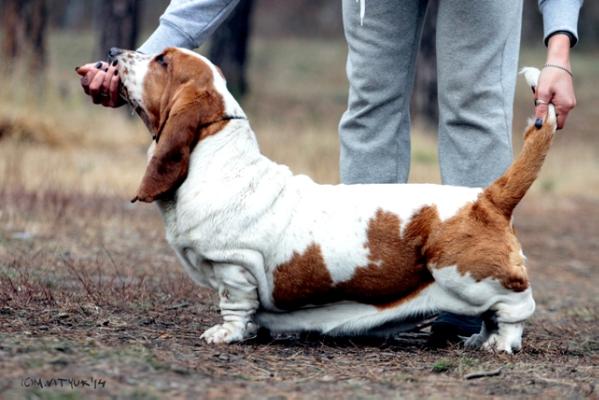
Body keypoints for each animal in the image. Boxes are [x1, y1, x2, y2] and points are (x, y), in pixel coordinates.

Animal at [106, 47, 552, 354]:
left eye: (163, 61)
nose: (112, 53)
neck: (217, 156)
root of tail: (487, 198)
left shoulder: (234, 267)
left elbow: (234, 306)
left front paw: (226, 335)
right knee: (492, 316)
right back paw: (478, 340)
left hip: (469, 278)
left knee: (515, 308)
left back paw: (500, 343)